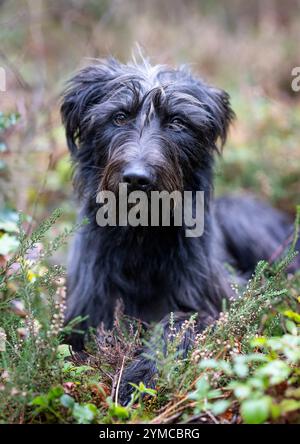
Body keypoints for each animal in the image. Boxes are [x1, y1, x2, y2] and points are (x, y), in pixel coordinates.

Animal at [60, 57, 298, 404]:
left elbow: (179, 323)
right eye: (119, 117)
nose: (137, 178)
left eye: (177, 122)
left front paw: (139, 375)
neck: (143, 236)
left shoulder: (218, 302)